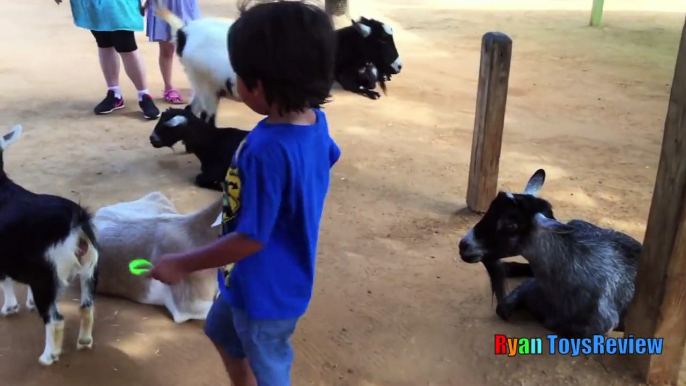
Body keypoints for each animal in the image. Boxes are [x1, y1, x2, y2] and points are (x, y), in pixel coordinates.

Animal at [460, 169, 644, 338]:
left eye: (510, 225)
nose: (463, 246)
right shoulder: (530, 286)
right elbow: (502, 308)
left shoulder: (600, 325)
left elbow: (554, 324)